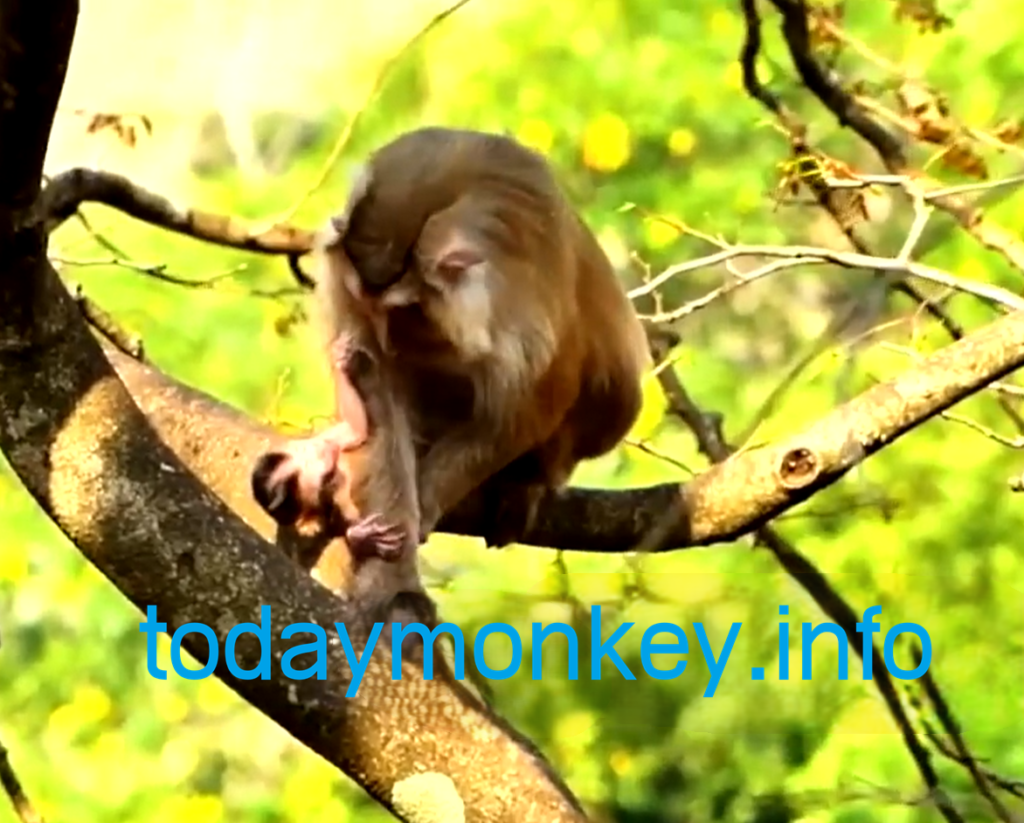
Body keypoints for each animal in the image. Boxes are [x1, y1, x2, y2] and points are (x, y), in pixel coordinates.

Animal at [251, 125, 651, 561]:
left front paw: (428, 499)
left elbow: (524, 409)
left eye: (406, 310)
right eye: (371, 307)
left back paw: (527, 481)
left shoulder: (527, 302)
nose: (389, 342)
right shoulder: (346, 292)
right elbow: (379, 397)